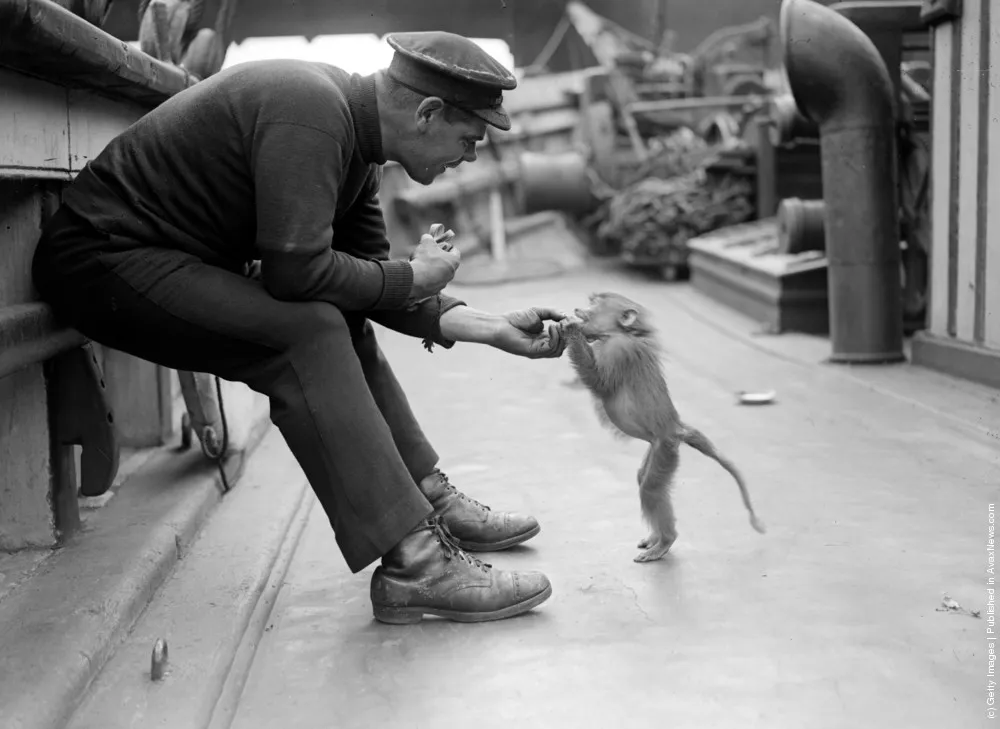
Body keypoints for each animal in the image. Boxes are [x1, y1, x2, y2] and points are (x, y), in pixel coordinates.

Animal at [560, 292, 765, 563]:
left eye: (597, 302)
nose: (581, 307)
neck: (617, 334)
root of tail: (675, 428)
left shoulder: (620, 351)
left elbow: (600, 382)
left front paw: (571, 329)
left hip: (665, 449)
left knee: (650, 488)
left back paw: (665, 541)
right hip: (658, 447)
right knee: (643, 479)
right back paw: (656, 538)